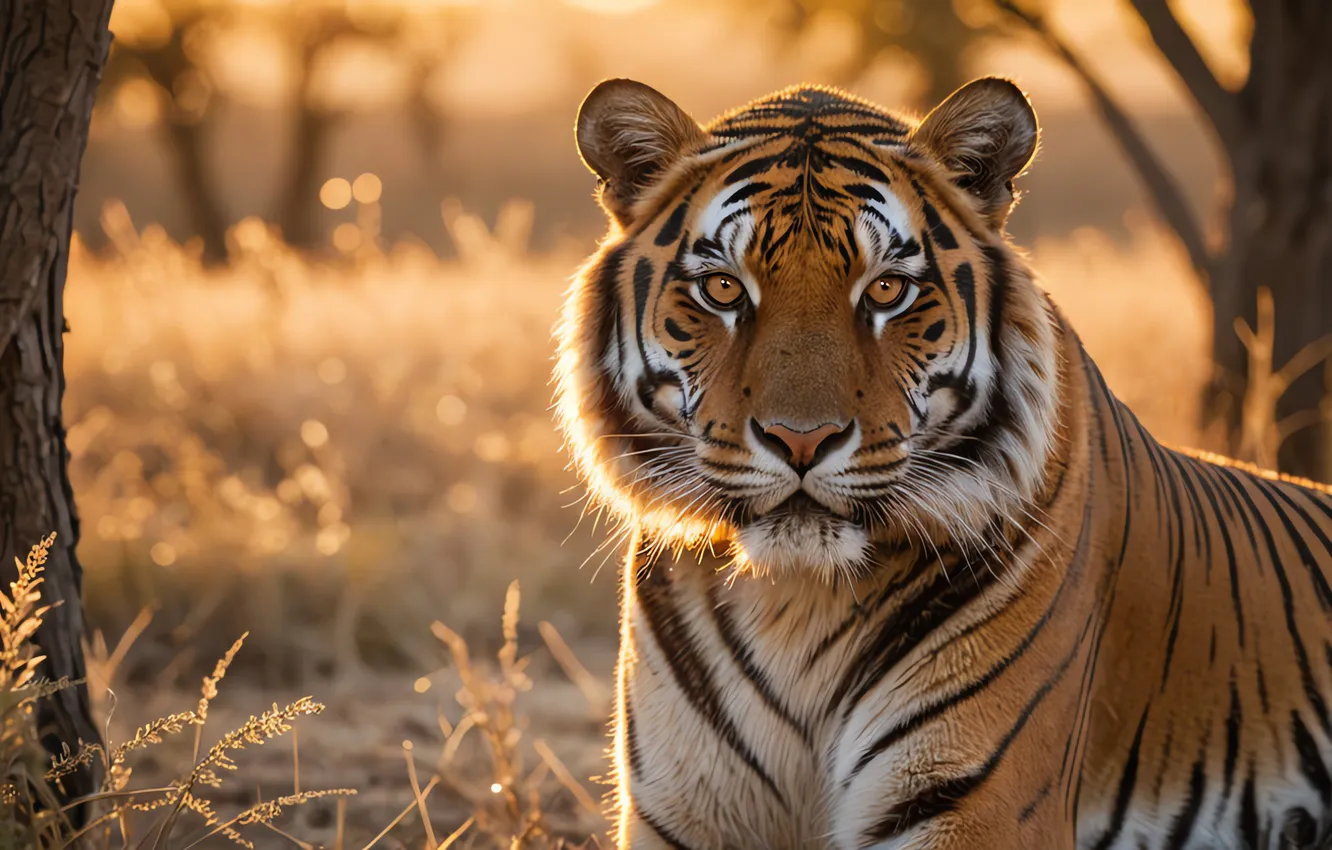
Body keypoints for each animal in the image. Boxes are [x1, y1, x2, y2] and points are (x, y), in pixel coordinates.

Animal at [552, 76, 1332, 850]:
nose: (801, 440)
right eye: (723, 289)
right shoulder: (685, 810)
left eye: (886, 290)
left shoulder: (976, 809)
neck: (796, 602)